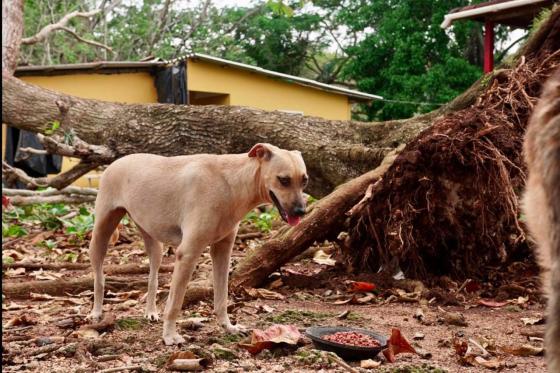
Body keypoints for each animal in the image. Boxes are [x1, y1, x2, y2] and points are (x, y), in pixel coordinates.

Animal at [88, 142, 308, 342]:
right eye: (284, 180)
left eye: (304, 181)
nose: (301, 212)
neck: (230, 183)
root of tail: (116, 162)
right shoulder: (187, 254)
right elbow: (175, 303)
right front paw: (170, 336)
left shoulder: (222, 252)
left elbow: (221, 297)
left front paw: (228, 327)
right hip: (100, 235)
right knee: (99, 278)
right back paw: (96, 312)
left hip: (154, 244)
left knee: (152, 278)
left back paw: (150, 311)